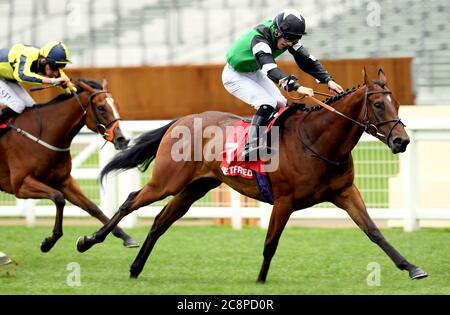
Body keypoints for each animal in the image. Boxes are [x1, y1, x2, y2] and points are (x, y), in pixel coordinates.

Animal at [0, 79, 137, 254]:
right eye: (101, 108)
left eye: (117, 106)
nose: (123, 139)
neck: (42, 135)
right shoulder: (20, 185)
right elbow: (59, 198)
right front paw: (49, 241)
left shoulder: (64, 181)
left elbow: (93, 207)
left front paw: (125, 236)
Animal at [77, 69, 428, 282]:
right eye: (379, 105)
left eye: (398, 103)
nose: (402, 141)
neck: (317, 140)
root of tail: (181, 120)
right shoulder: (285, 201)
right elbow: (270, 243)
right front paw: (260, 281)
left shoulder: (344, 192)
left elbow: (374, 232)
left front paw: (411, 267)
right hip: (167, 180)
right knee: (132, 200)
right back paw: (90, 240)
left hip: (195, 187)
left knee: (161, 221)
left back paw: (136, 268)